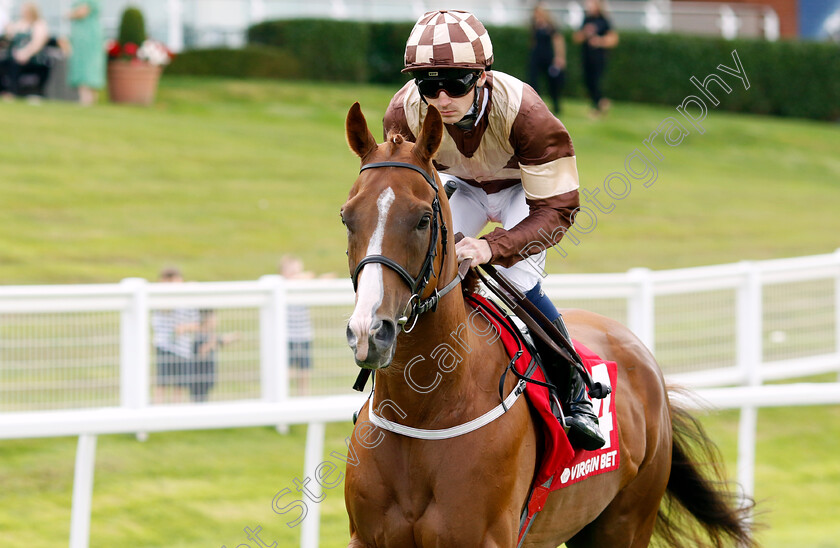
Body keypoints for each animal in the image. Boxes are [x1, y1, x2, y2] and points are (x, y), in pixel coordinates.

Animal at [342, 100, 756, 544]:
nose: (370, 331)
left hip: (627, 521)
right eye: (347, 217)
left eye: (422, 219)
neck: (424, 410)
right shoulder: (365, 536)